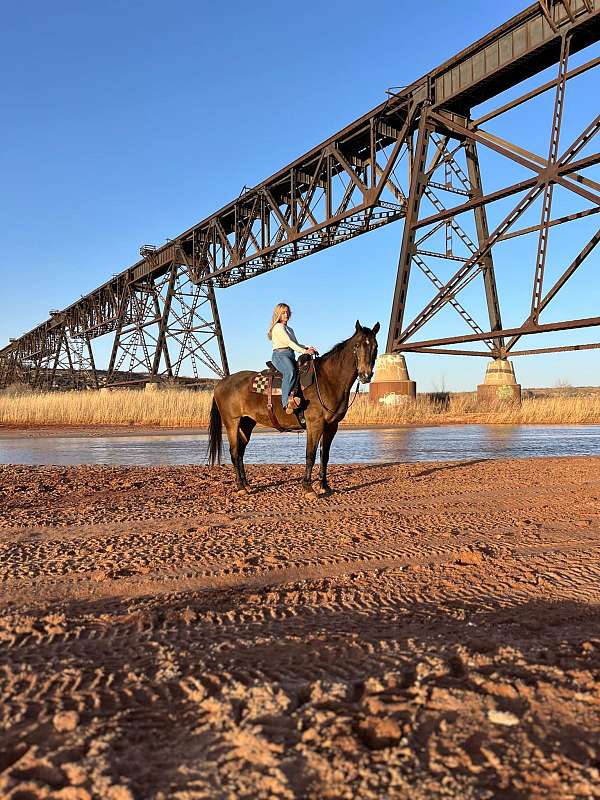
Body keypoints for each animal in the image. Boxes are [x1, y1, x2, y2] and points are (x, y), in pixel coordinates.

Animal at [206, 318, 380, 494]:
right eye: (357, 345)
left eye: (375, 346)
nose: (366, 375)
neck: (328, 380)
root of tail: (221, 383)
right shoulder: (315, 424)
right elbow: (310, 455)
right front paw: (308, 488)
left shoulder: (332, 426)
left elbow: (324, 456)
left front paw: (324, 486)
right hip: (232, 422)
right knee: (234, 452)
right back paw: (241, 487)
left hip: (247, 422)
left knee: (241, 451)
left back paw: (246, 484)